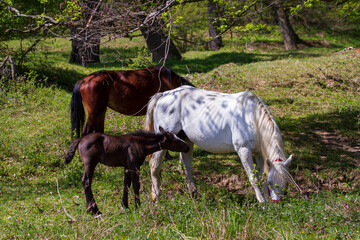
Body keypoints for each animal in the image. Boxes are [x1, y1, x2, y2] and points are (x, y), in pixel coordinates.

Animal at [145, 85, 294, 202]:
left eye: (286, 183)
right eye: (271, 182)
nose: (277, 204)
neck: (252, 118)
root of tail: (164, 95)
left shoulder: (259, 153)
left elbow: (261, 175)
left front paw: (266, 203)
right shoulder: (243, 150)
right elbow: (253, 178)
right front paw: (262, 203)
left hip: (186, 140)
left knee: (185, 167)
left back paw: (194, 195)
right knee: (155, 166)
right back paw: (156, 197)